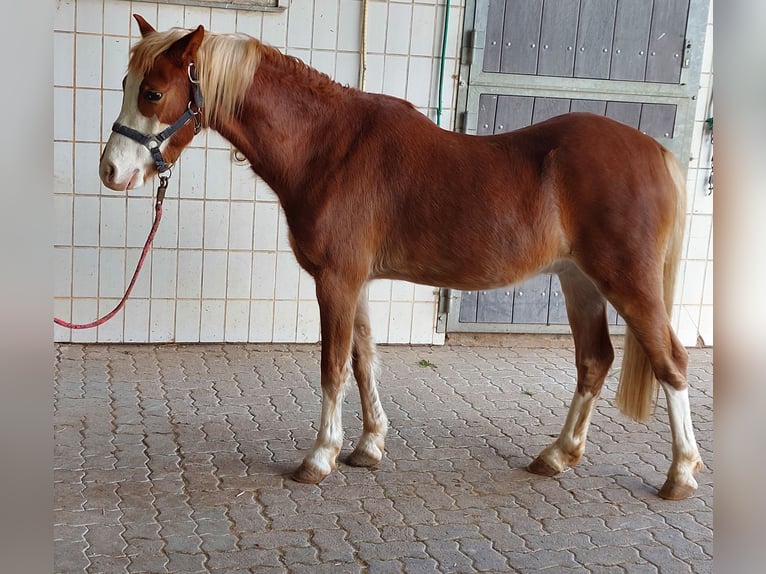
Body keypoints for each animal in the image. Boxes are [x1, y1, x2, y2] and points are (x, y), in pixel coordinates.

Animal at [99, 15, 704, 502]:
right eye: (126, 85)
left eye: (152, 93)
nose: (110, 171)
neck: (330, 147)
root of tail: (655, 151)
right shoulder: (357, 283)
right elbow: (365, 360)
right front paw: (368, 447)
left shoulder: (336, 281)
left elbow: (333, 366)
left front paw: (319, 457)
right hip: (580, 281)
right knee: (594, 361)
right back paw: (556, 455)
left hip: (627, 281)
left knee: (671, 361)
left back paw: (680, 475)